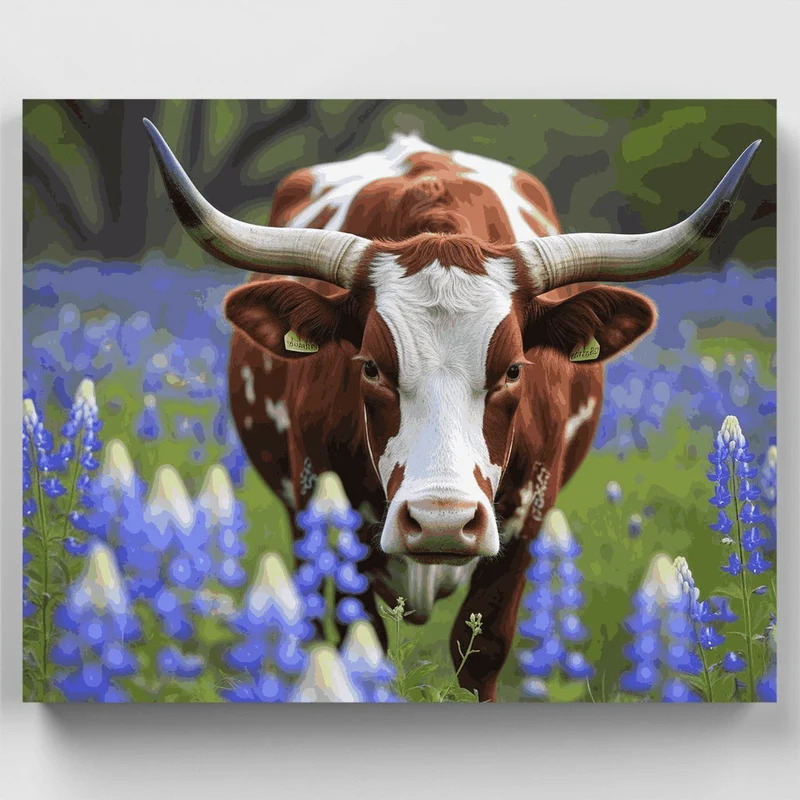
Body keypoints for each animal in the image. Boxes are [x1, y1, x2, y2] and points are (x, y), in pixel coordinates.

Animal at [144, 118, 758, 701]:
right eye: (370, 366)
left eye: (513, 370)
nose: (442, 521)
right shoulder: (327, 521)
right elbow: (357, 646)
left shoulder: (527, 526)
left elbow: (481, 651)